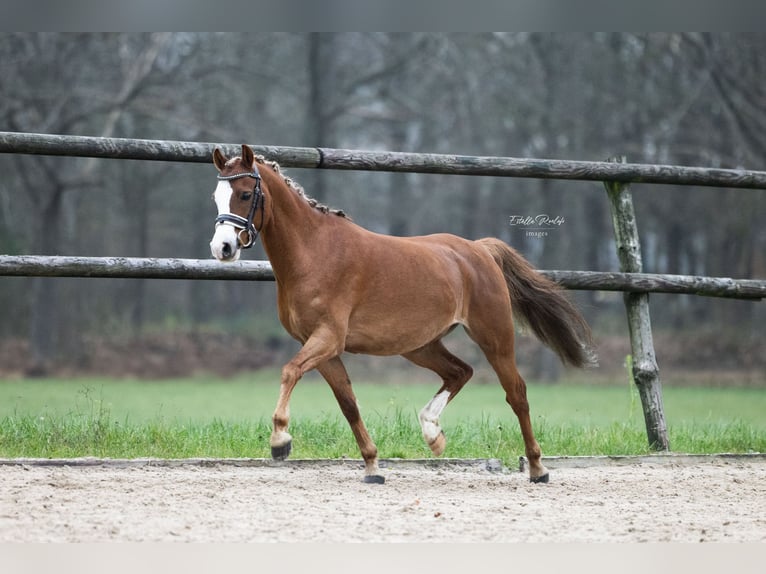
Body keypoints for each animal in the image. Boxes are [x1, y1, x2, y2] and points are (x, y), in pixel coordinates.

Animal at [213, 145, 596, 486]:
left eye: (245, 194)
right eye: (216, 196)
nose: (222, 248)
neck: (315, 252)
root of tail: (478, 250)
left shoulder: (328, 338)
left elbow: (290, 371)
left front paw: (280, 441)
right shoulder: (323, 348)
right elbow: (348, 404)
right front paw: (372, 467)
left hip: (494, 336)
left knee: (516, 393)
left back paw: (537, 468)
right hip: (420, 345)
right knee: (460, 372)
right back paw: (433, 434)